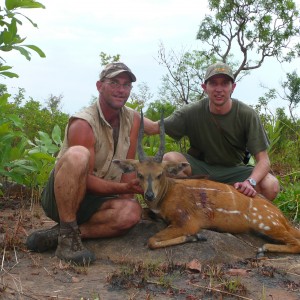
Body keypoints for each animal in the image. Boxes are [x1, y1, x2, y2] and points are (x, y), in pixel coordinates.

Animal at [112, 112, 300, 255]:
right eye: (139, 174)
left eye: (160, 174)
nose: (149, 195)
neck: (166, 193)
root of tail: (282, 217)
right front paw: (196, 237)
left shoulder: (187, 222)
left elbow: (151, 240)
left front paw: (197, 236)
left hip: (267, 225)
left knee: (295, 243)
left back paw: (263, 248)